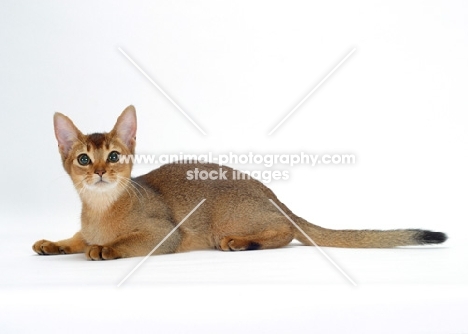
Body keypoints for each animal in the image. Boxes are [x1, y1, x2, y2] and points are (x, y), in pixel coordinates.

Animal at [32, 105, 446, 260]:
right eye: (84, 159)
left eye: (114, 156)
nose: (101, 171)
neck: (100, 210)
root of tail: (269, 192)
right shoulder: (85, 228)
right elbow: (76, 238)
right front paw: (54, 243)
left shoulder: (165, 234)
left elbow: (123, 243)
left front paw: (105, 248)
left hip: (231, 216)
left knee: (287, 231)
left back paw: (241, 243)